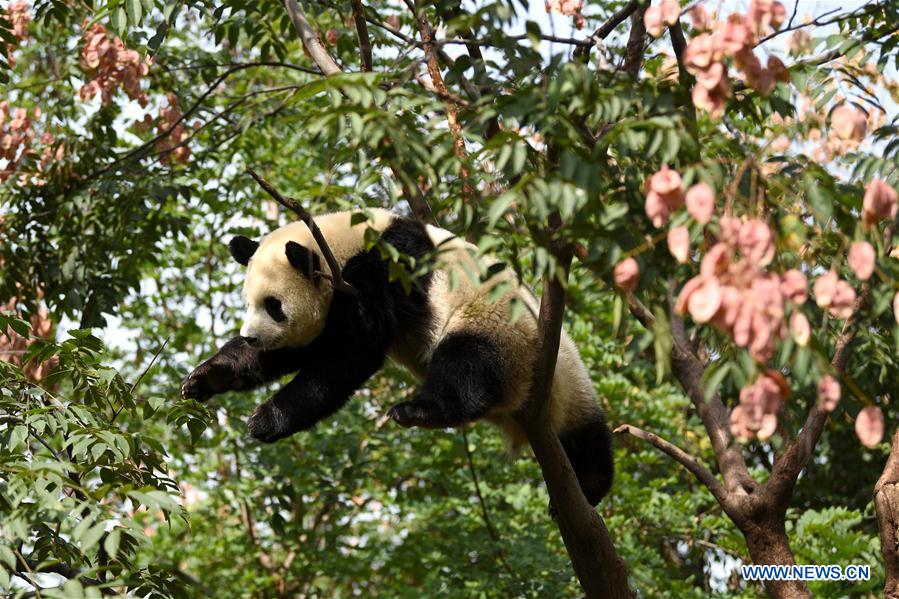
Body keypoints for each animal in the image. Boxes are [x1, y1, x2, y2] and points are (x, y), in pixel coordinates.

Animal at [185, 209, 620, 504]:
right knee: (589, 440)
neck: (339, 243)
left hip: (501, 329)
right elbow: (308, 347)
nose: (252, 337)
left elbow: (350, 352)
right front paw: (209, 376)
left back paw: (418, 411)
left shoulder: (385, 270)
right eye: (248, 303)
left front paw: (265, 420)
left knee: (467, 366)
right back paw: (592, 484)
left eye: (273, 306)